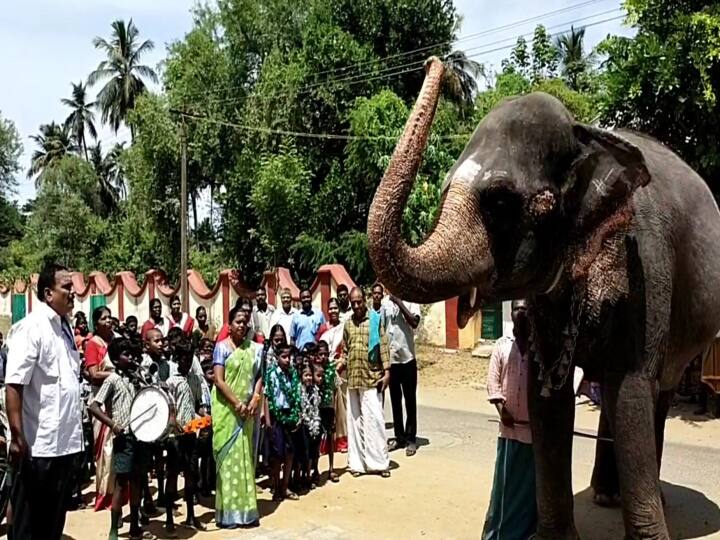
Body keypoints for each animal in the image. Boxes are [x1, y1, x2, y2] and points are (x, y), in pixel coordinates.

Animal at [368, 57, 720, 536]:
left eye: (500, 202)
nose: (434, 62)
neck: (586, 135)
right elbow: (546, 399)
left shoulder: (646, 268)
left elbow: (631, 389)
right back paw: (606, 495)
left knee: (656, 391)